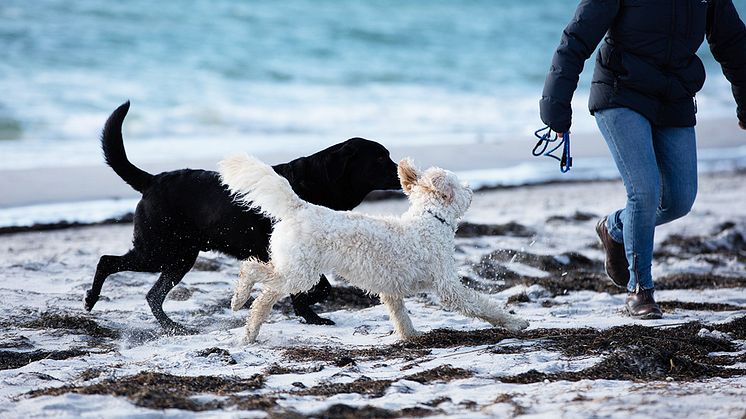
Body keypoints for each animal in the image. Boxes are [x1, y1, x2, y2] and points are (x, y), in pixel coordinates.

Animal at [83, 102, 402, 334]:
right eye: (379, 158)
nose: (403, 171)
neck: (316, 183)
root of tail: (152, 180)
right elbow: (318, 287)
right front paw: (309, 313)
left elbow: (317, 288)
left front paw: (309, 315)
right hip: (158, 250)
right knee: (107, 261)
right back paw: (90, 300)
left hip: (179, 257)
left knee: (153, 295)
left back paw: (175, 327)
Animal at [217, 156, 528, 342]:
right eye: (460, 186)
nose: (471, 188)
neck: (429, 220)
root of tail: (300, 207)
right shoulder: (448, 287)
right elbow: (481, 305)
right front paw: (515, 323)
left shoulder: (391, 291)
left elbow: (400, 315)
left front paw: (410, 337)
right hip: (300, 273)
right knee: (256, 277)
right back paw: (241, 301)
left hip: (293, 268)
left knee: (263, 288)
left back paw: (248, 324)